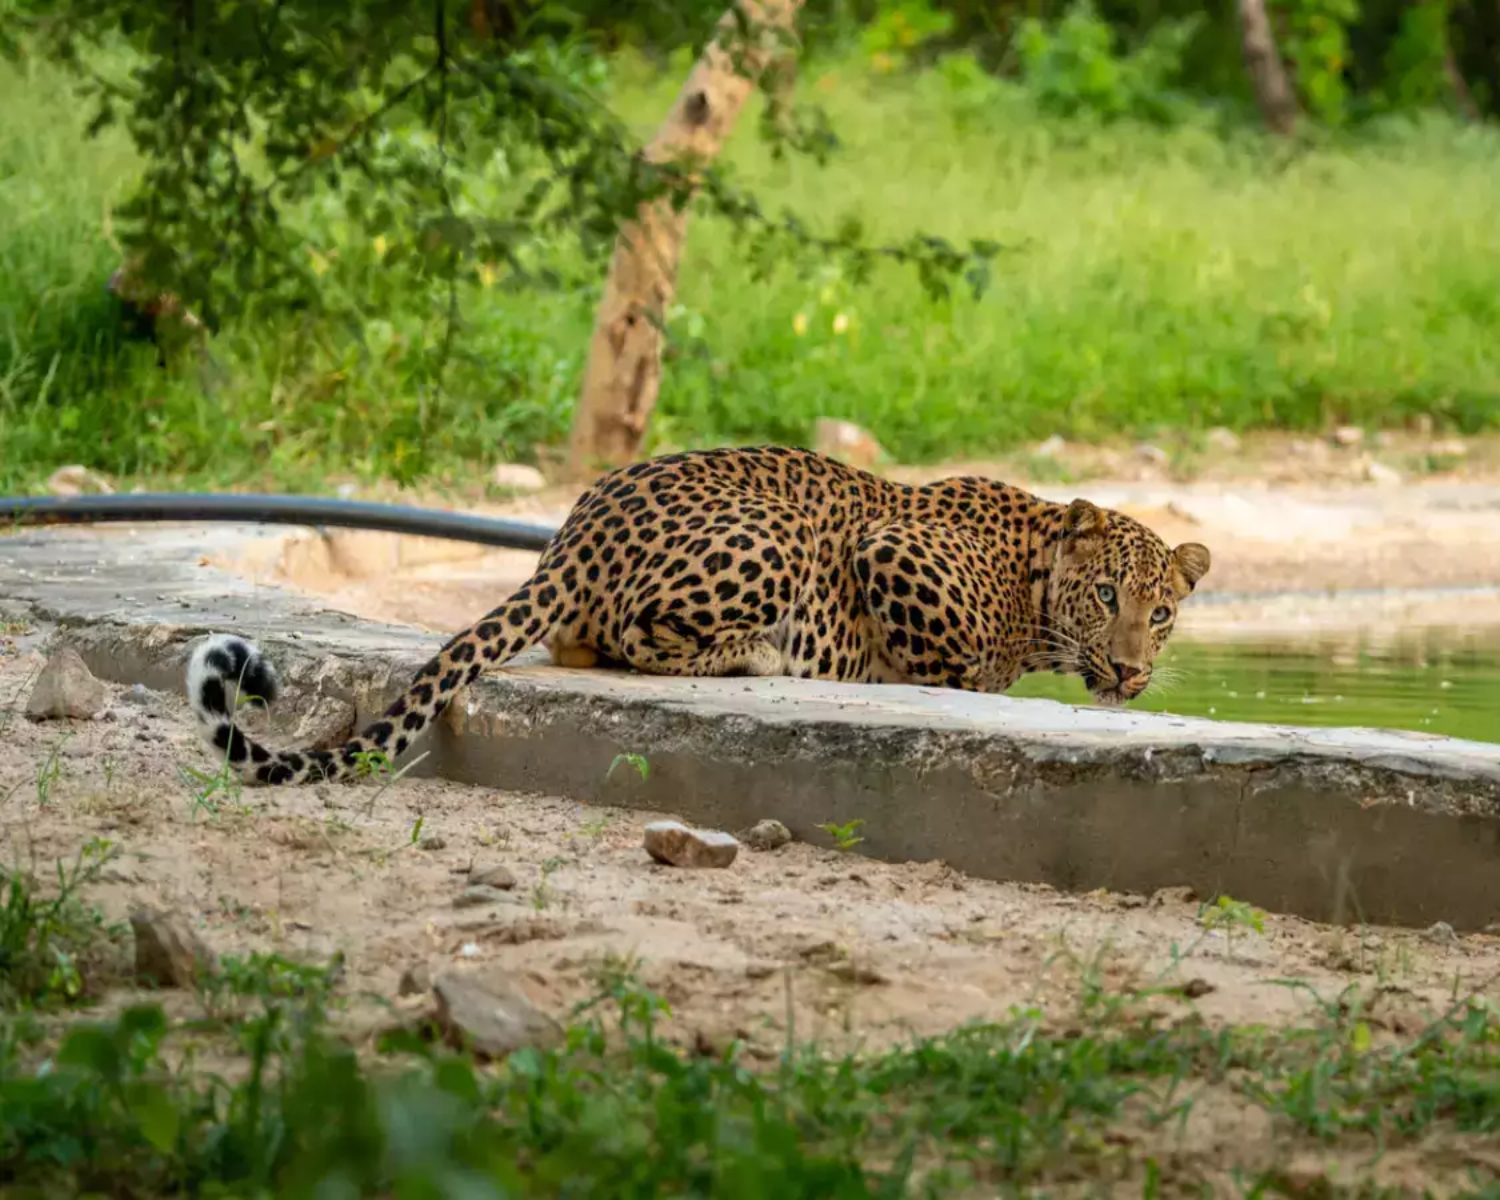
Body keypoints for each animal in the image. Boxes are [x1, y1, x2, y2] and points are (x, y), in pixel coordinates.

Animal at [186, 444, 1211, 787]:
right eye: (1108, 597)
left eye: (1162, 613)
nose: (1130, 670)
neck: (1032, 571)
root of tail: (572, 535)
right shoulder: (889, 547)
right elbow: (956, 668)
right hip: (781, 536)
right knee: (644, 638)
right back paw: (760, 654)